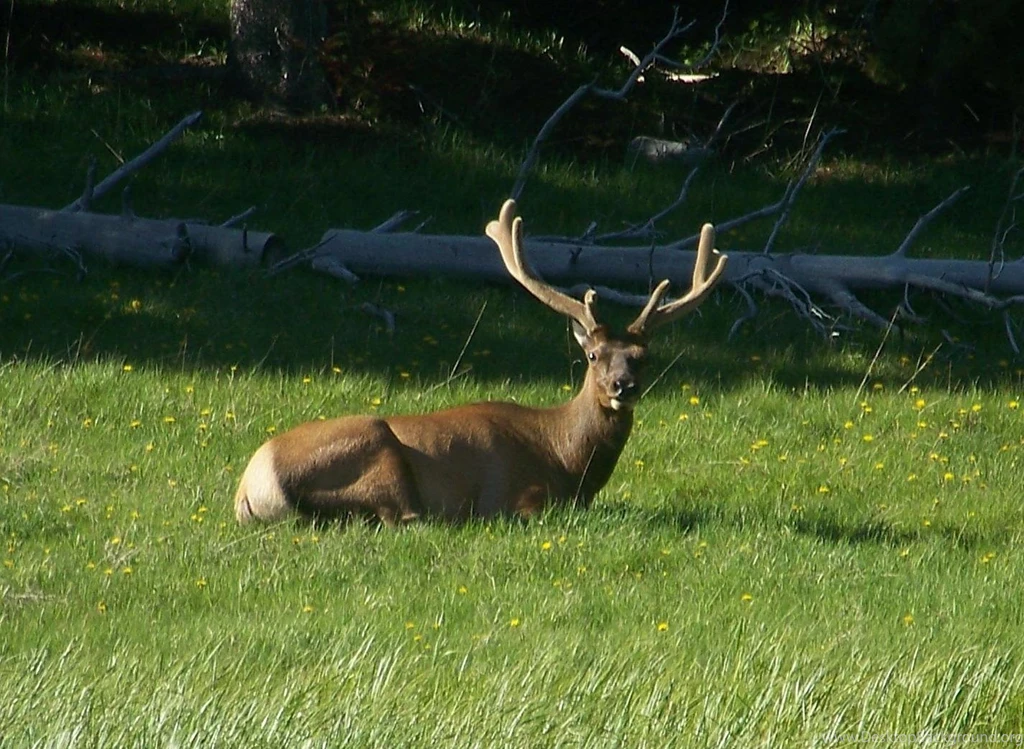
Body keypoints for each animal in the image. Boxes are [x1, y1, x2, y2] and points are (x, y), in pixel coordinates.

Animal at [234, 199, 727, 525]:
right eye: (592, 354)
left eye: (643, 357)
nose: (623, 386)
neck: (568, 461)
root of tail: (253, 490)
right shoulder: (516, 496)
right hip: (377, 449)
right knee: (404, 515)